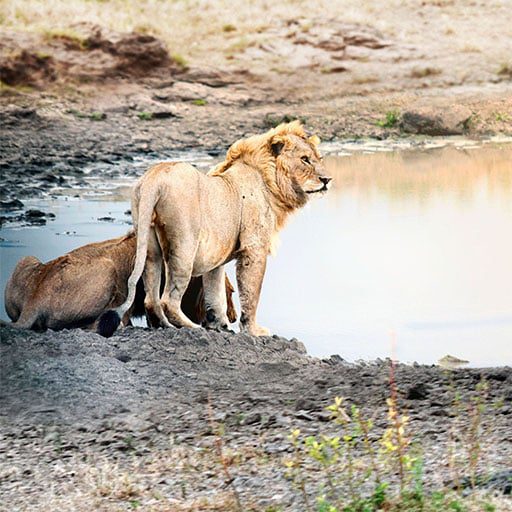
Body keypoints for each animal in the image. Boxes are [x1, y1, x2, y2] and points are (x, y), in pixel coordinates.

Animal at [4, 232, 237, 332]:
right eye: (230, 292)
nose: (234, 318)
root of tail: (34, 300)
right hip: (108, 269)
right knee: (95, 325)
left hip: (27, 259)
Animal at [97, 119, 330, 336]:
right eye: (305, 159)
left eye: (318, 158)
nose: (327, 179)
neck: (270, 180)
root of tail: (154, 178)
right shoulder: (254, 248)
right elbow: (251, 292)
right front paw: (253, 330)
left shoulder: (216, 257)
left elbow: (214, 292)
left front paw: (220, 324)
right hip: (185, 246)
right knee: (168, 300)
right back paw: (190, 327)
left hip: (149, 244)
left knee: (151, 299)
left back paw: (165, 326)